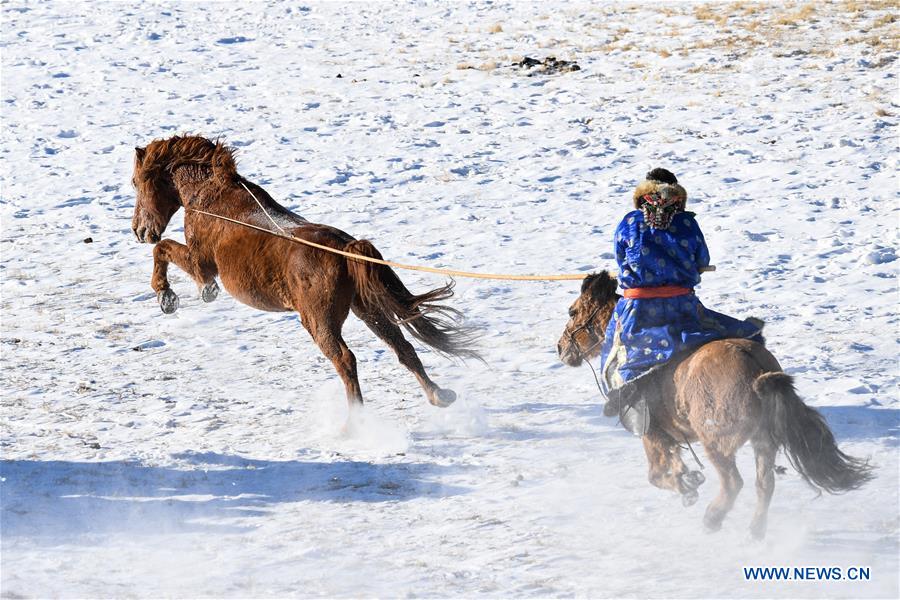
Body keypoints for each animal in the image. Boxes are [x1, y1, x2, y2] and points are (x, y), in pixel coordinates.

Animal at [130, 135, 478, 412]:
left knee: (346, 359)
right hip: (368, 309)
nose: (139, 230)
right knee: (402, 347)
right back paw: (439, 395)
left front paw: (171, 295)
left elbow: (164, 251)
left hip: (319, 322)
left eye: (136, 183)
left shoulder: (200, 260)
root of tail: (347, 249)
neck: (211, 198)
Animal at [556, 272, 872, 540]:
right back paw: (755, 530)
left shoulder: (651, 434)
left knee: (734, 483)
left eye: (572, 312)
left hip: (717, 444)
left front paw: (687, 486)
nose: (561, 348)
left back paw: (712, 518)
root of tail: (758, 372)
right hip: (763, 441)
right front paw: (687, 479)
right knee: (764, 484)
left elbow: (656, 476)